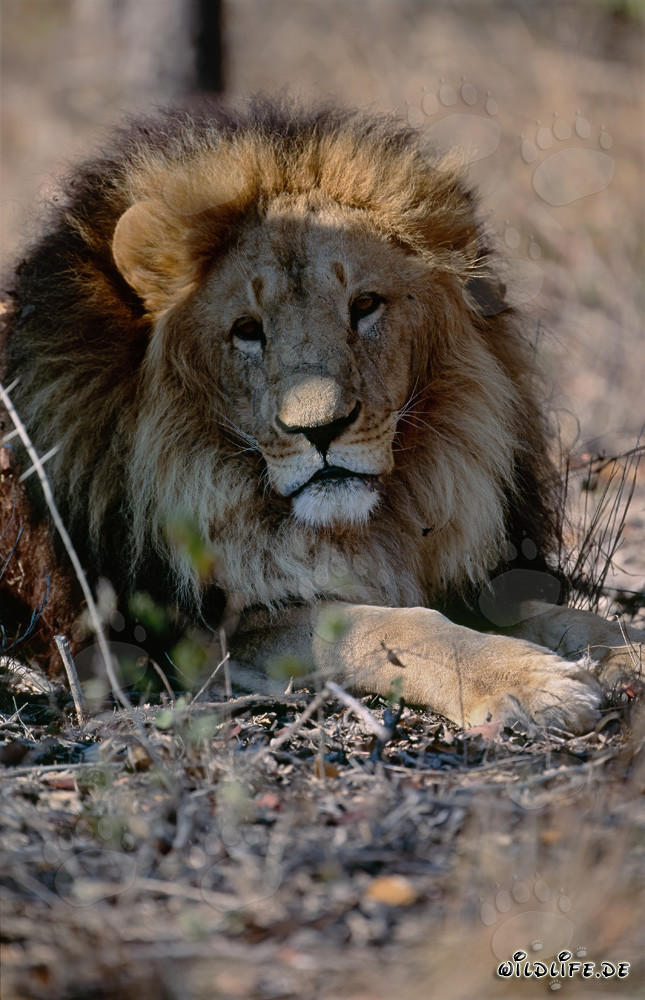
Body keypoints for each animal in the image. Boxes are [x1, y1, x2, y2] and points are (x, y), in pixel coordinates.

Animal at [1, 96, 642, 733]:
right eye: (247, 330)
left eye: (365, 305)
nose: (321, 429)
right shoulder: (199, 636)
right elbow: (388, 626)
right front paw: (529, 682)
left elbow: (562, 616)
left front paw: (625, 651)